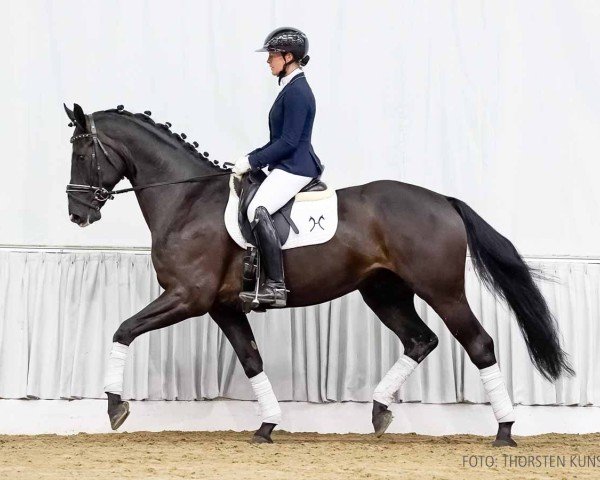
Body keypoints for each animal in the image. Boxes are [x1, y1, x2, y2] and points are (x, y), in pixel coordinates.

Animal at [64, 103, 572, 444]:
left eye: (83, 153)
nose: (77, 214)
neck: (186, 200)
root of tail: (443, 201)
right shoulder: (223, 307)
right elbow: (252, 360)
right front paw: (267, 426)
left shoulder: (188, 297)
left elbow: (123, 329)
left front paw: (115, 406)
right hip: (383, 292)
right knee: (420, 340)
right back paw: (380, 411)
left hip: (441, 290)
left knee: (479, 344)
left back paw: (504, 430)